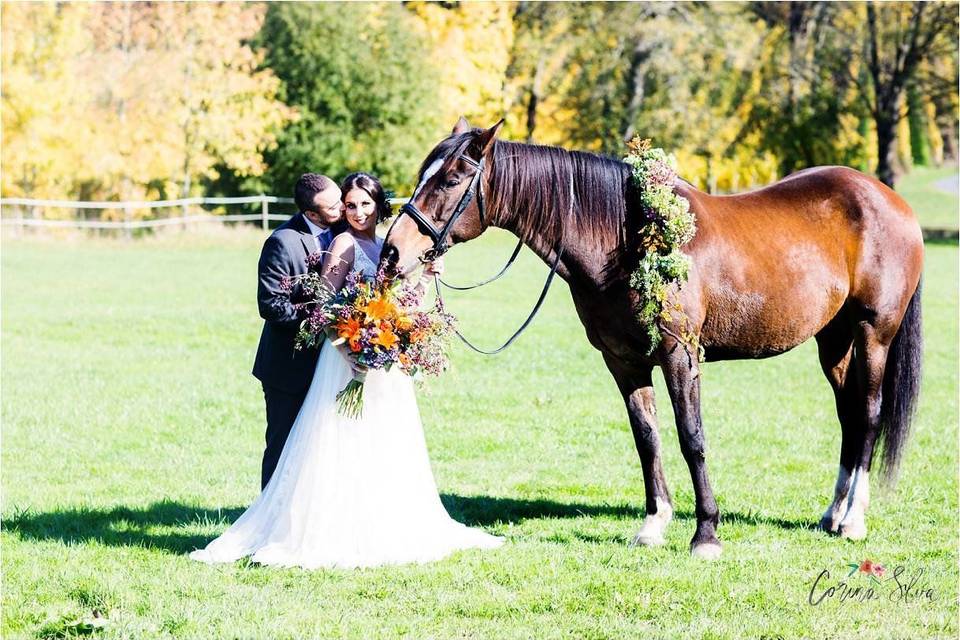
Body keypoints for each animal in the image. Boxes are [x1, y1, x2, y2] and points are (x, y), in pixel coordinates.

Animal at [380, 117, 924, 556]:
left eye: (452, 179)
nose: (392, 252)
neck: (629, 240)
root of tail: (889, 199)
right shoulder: (625, 362)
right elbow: (648, 438)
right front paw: (653, 525)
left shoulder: (681, 356)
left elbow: (691, 438)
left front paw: (706, 534)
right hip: (833, 341)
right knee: (848, 415)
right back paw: (833, 513)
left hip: (873, 333)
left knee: (868, 412)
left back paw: (853, 519)